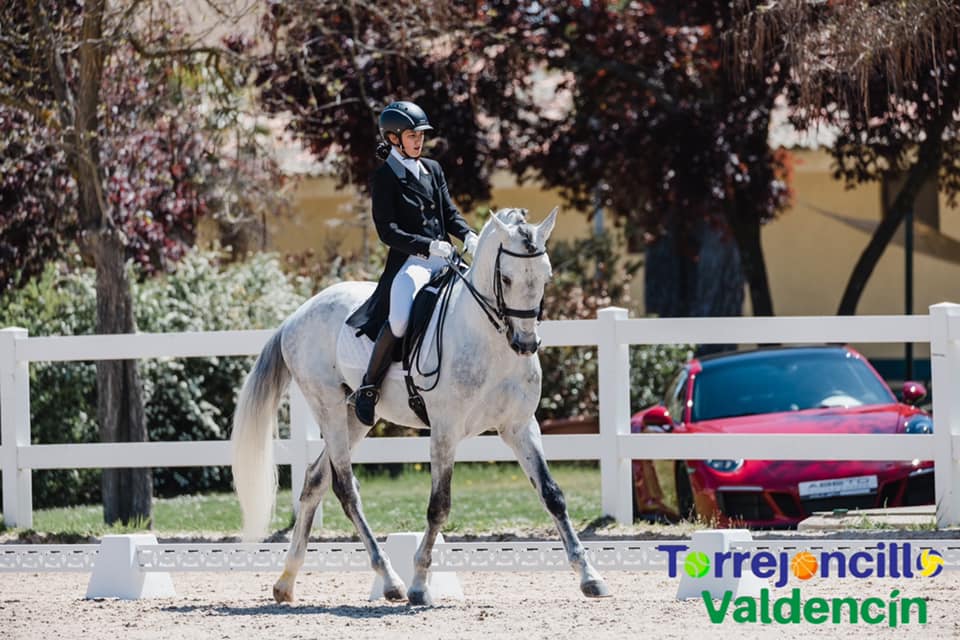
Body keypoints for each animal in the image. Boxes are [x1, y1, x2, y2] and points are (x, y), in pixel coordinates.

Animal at [232, 206, 608, 604]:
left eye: (546, 275)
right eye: (505, 278)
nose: (525, 343)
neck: (490, 342)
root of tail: (295, 316)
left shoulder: (520, 427)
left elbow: (552, 495)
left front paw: (590, 576)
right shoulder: (445, 431)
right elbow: (438, 505)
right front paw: (419, 584)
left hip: (356, 419)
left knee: (316, 480)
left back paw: (286, 582)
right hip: (329, 409)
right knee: (346, 489)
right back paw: (391, 581)